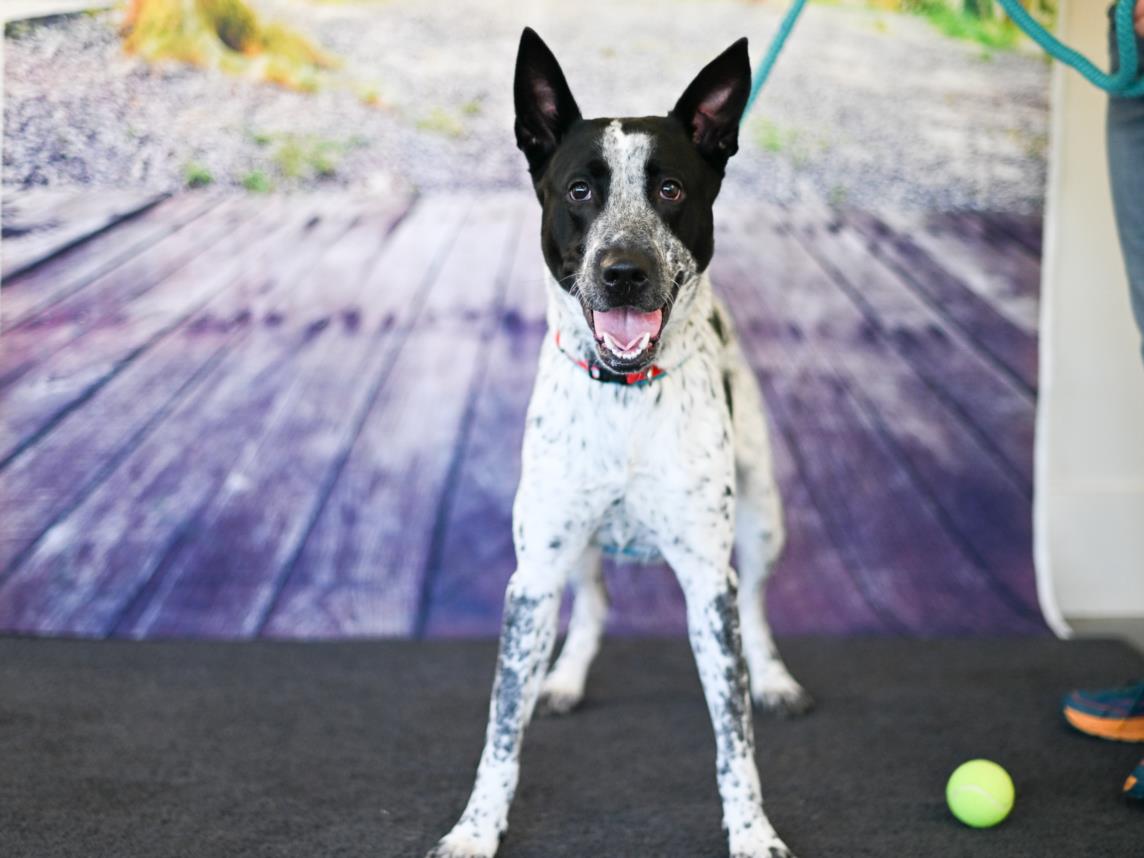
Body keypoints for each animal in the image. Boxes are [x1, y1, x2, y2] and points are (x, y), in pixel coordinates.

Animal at [425, 28, 809, 858]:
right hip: (569, 548)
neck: (627, 394)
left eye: (669, 191)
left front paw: (753, 832)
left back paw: (774, 677)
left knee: (760, 606)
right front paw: (475, 829)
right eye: (578, 191)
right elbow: (501, 730)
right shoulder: (532, 575)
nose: (624, 271)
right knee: (595, 605)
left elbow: (735, 737)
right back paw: (564, 678)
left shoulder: (708, 584)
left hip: (763, 517)